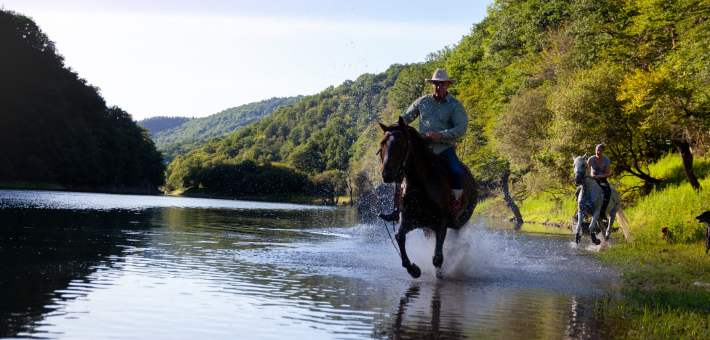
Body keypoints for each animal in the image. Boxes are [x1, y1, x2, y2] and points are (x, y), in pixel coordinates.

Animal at [378, 117, 478, 278]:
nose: (387, 174)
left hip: (461, 220)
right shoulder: (409, 219)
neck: (421, 185)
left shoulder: (442, 222)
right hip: (427, 228)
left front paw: (440, 274)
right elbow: (400, 236)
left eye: (400, 143)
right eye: (382, 143)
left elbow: (437, 258)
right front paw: (413, 269)